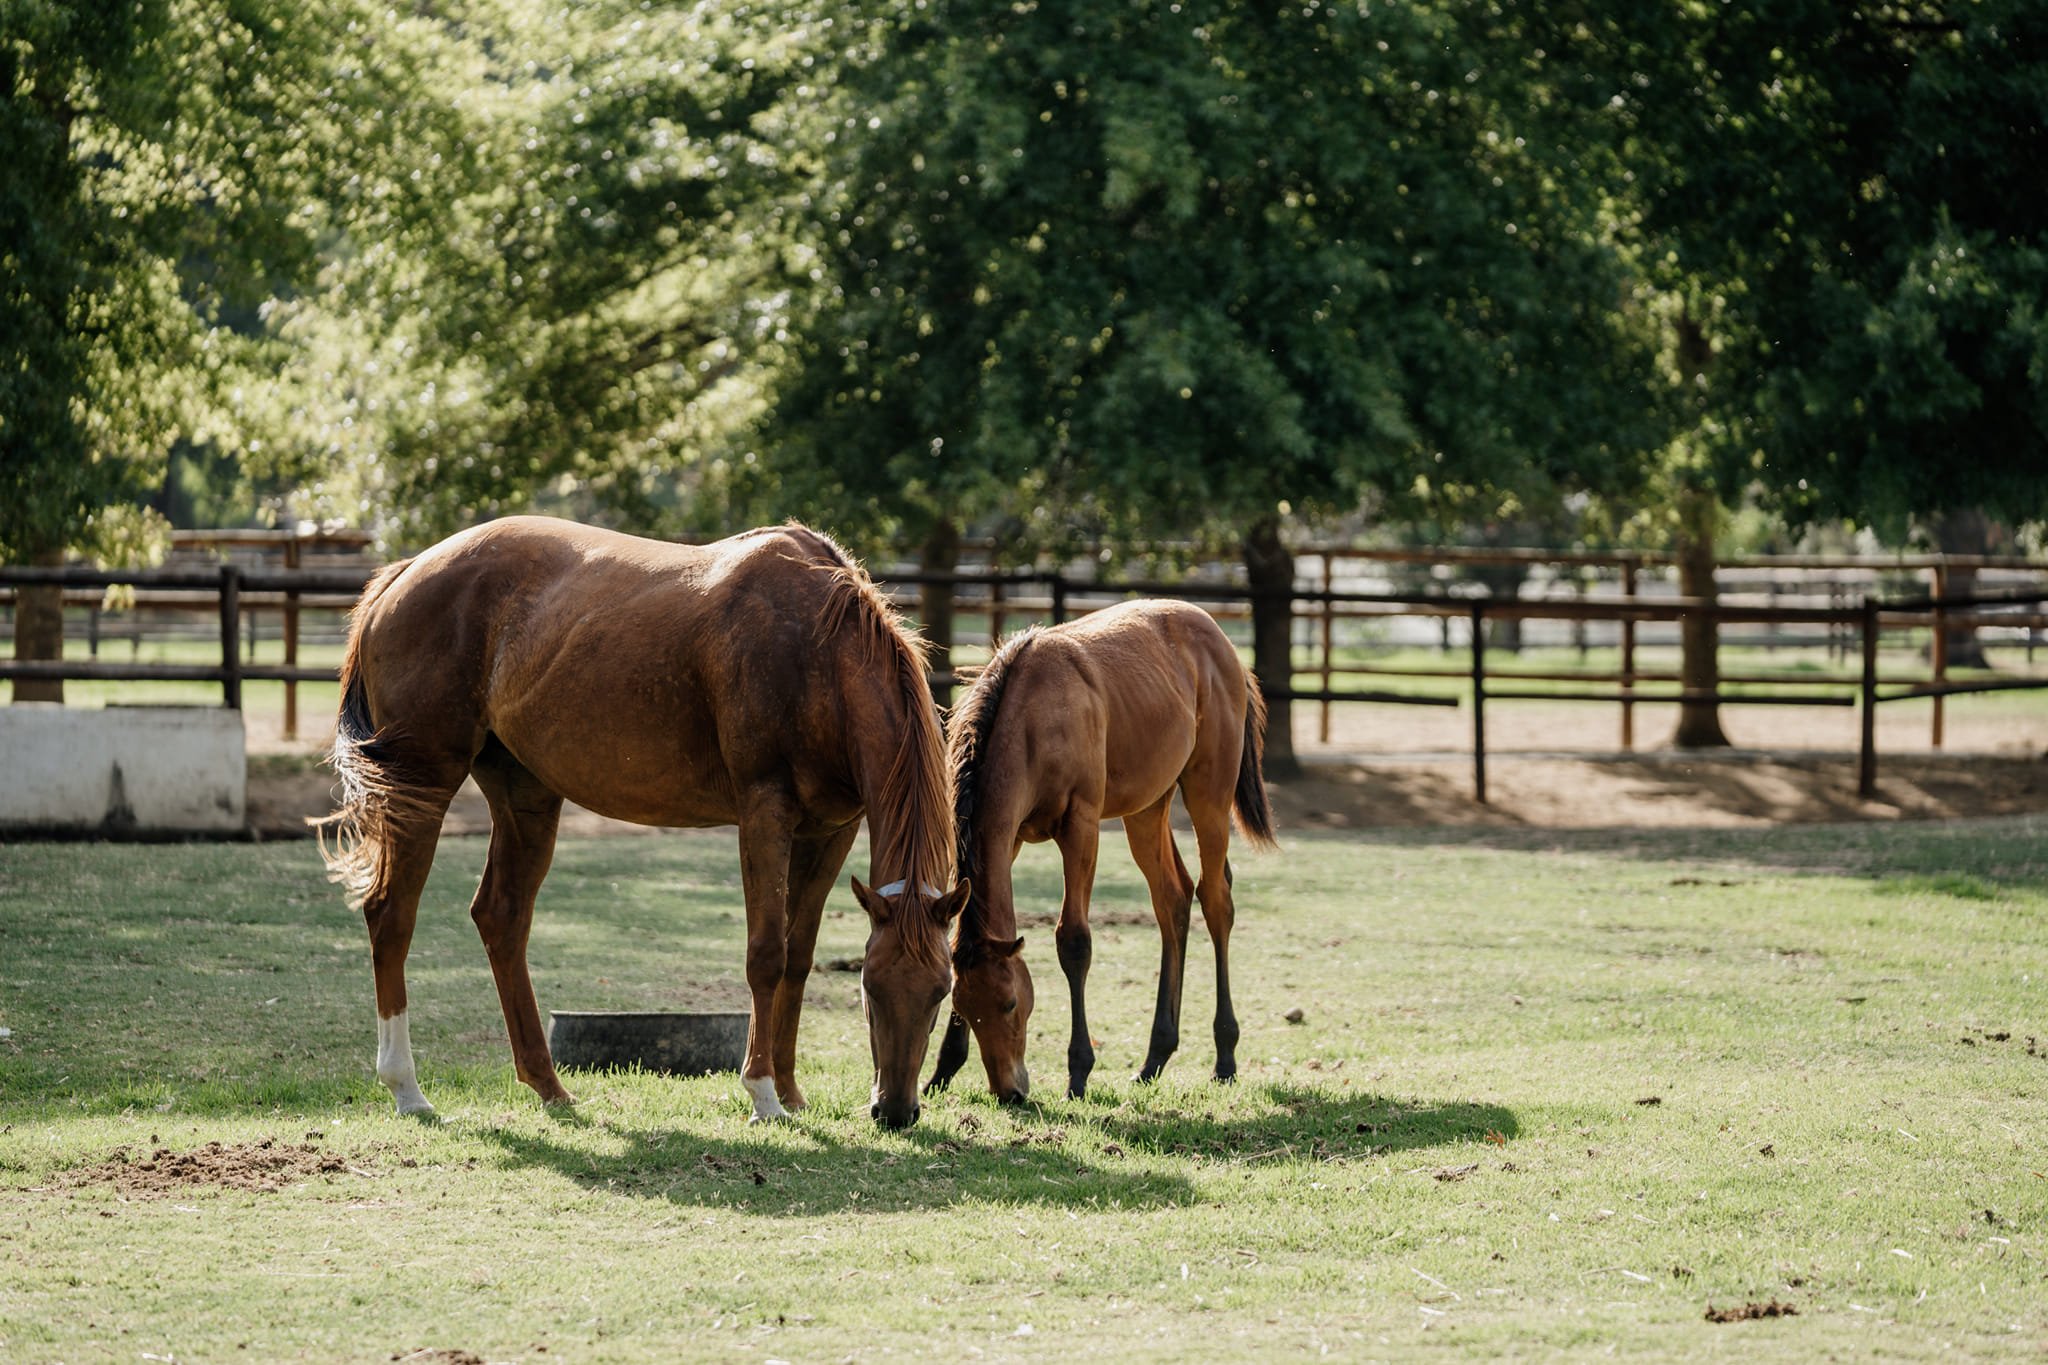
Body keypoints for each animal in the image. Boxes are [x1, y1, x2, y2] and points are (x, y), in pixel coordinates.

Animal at [315, 517, 962, 1129]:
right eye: (870, 990)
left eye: (941, 991)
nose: (896, 1110)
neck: (815, 647)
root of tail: (404, 573)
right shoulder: (764, 814)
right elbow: (766, 955)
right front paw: (762, 1096)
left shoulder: (831, 831)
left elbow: (798, 958)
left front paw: (791, 1092)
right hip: (422, 784)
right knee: (392, 916)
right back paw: (407, 1089)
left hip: (525, 794)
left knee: (501, 917)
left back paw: (548, 1086)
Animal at [925, 601, 1269, 1105]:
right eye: (962, 1007)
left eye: (1011, 1003)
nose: (1009, 1092)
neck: (1033, 717)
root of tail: (1220, 641)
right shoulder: (1008, 838)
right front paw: (941, 1071)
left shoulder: (1081, 827)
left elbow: (1074, 941)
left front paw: (1079, 1071)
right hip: (1147, 808)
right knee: (1173, 899)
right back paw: (1155, 1058)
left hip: (1209, 793)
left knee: (1215, 900)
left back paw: (1224, 1056)